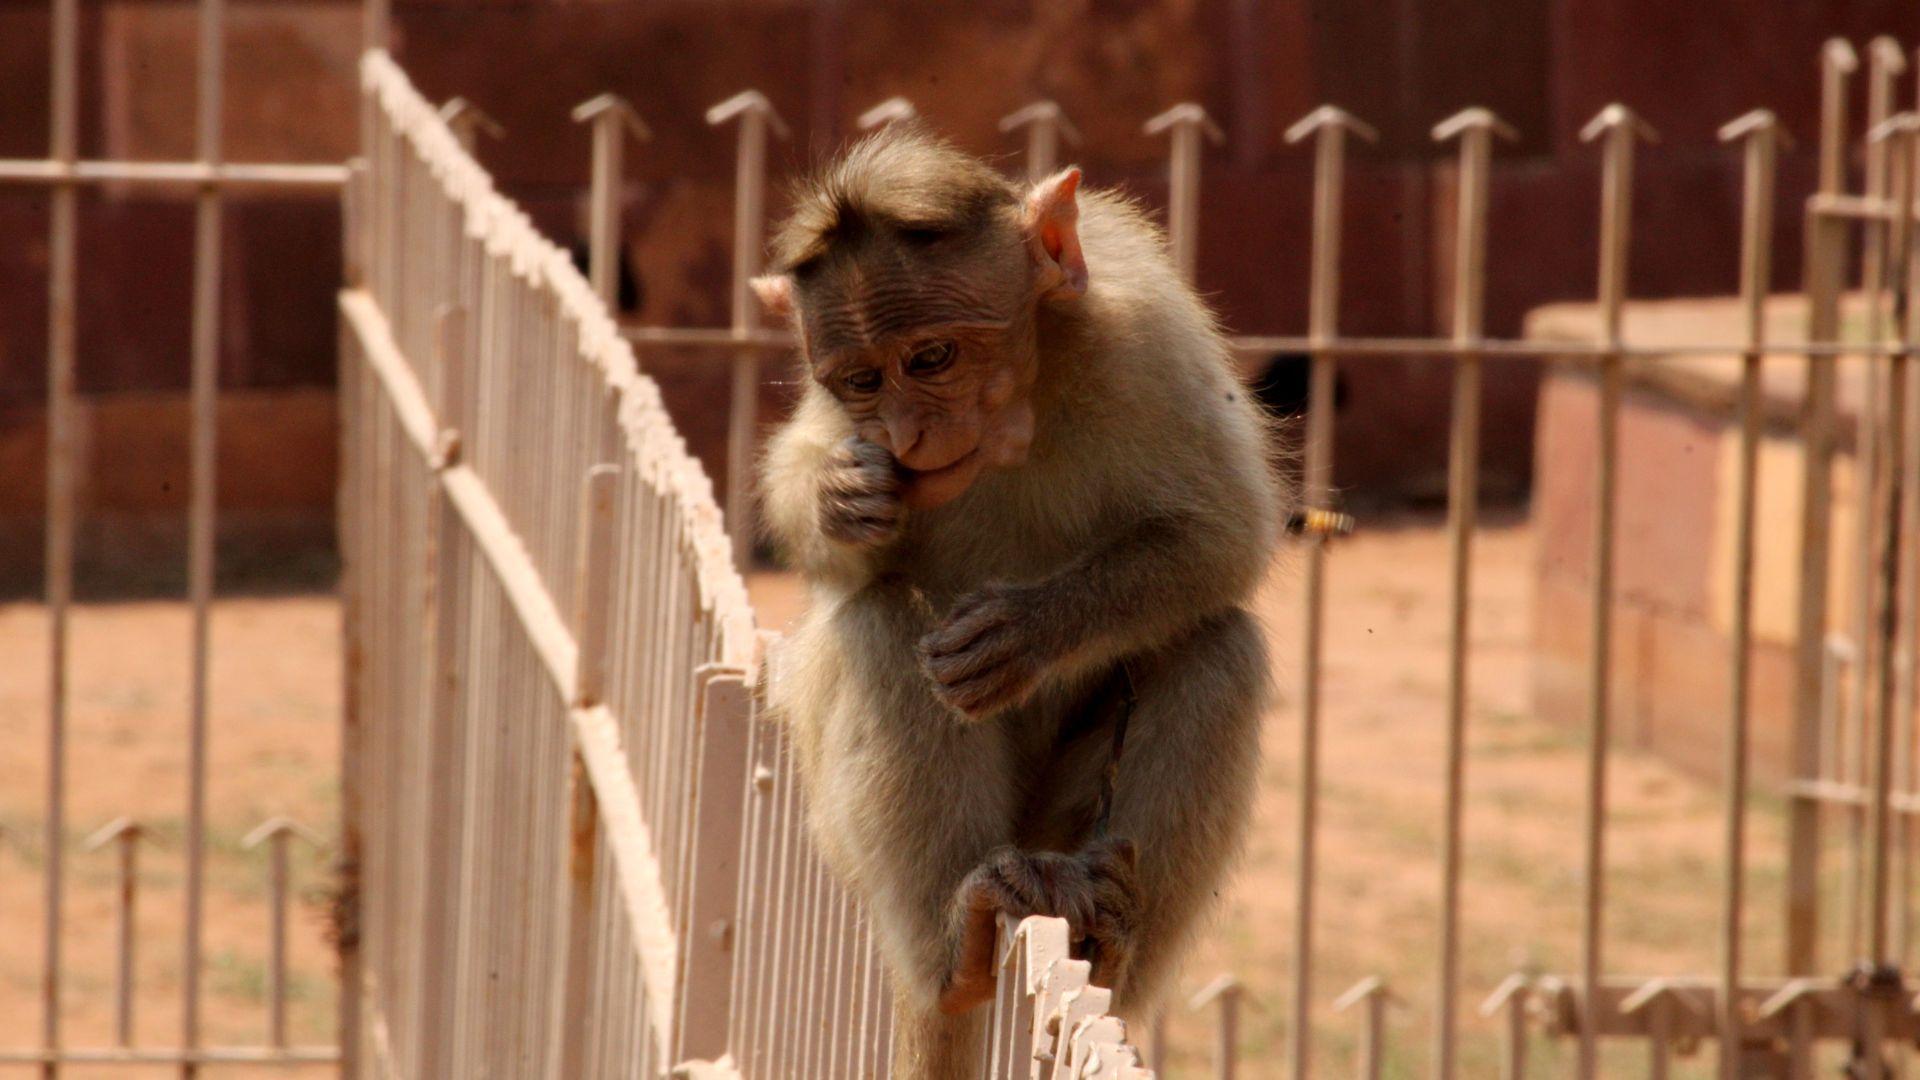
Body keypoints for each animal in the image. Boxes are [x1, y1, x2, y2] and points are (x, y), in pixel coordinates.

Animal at [754, 124, 1280, 1078]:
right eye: (861, 381)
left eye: (932, 358)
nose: (911, 436)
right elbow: (817, 510)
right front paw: (840, 496)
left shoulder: (1145, 332)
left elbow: (1223, 532)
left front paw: (1029, 633)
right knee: (884, 624)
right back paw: (953, 953)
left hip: (1060, 831)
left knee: (1218, 645)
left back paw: (1105, 948)